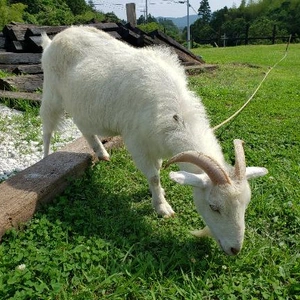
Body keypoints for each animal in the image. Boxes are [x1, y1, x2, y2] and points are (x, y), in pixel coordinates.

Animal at [40, 26, 268, 255]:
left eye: (245, 204)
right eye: (214, 206)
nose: (235, 249)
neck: (174, 112)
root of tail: (54, 39)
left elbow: (158, 169)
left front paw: (160, 194)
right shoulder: (136, 143)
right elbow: (154, 177)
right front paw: (162, 207)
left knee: (84, 127)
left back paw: (101, 153)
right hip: (51, 92)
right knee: (47, 128)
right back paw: (45, 159)